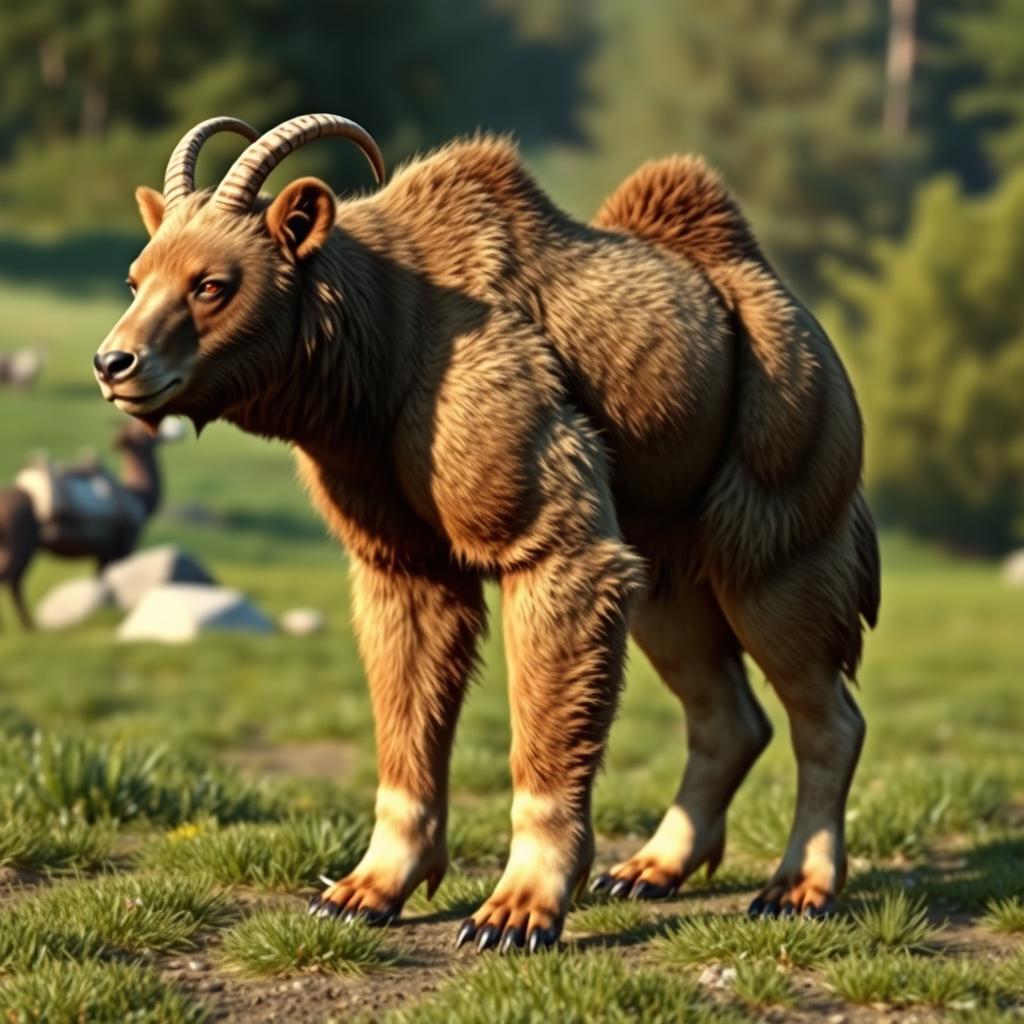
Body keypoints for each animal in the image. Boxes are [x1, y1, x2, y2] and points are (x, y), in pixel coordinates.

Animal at [93, 114, 879, 951]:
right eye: (137, 279)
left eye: (212, 283)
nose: (116, 361)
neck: (373, 367)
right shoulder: (399, 544)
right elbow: (407, 715)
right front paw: (362, 889)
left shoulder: (540, 514)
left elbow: (546, 691)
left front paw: (515, 911)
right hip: (671, 537)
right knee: (721, 704)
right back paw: (648, 869)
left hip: (778, 464)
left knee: (818, 691)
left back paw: (798, 887)